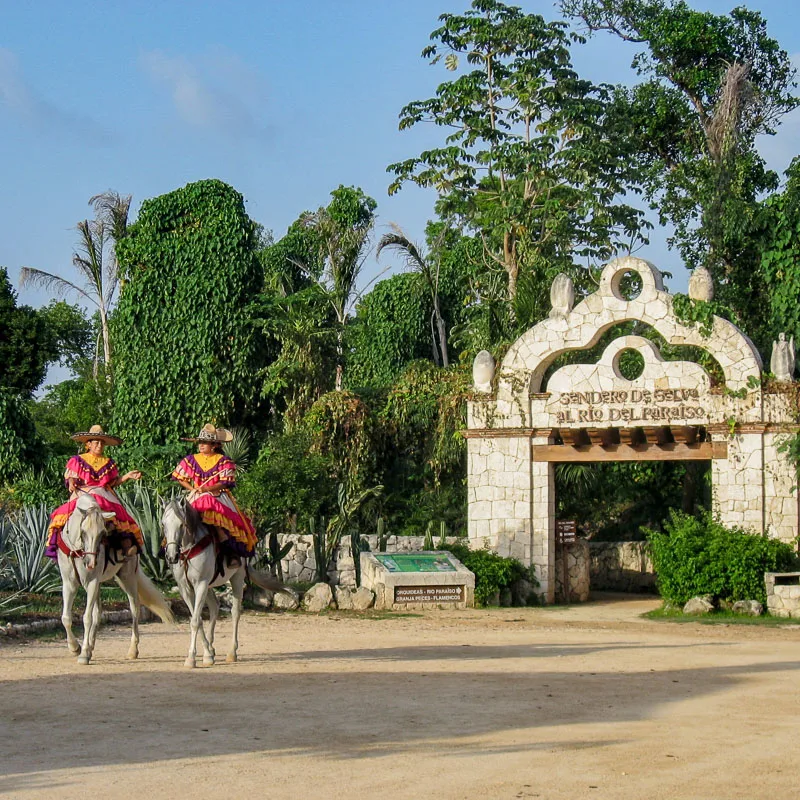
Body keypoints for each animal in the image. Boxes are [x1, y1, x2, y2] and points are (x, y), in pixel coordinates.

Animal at [57, 490, 175, 664]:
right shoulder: (69, 583)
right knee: (97, 612)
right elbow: (66, 617)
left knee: (134, 608)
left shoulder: (92, 582)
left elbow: (86, 618)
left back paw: (132, 650)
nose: (90, 563)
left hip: (128, 577)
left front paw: (83, 653)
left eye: (102, 534)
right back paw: (91, 646)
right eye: (83, 532)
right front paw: (75, 647)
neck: (77, 550)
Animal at [162, 496, 288, 664]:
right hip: (209, 586)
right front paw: (206, 654)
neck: (190, 549)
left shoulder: (201, 584)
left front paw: (191, 658)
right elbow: (198, 619)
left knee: (235, 612)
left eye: (181, 524)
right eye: (163, 524)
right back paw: (210, 648)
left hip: (237, 578)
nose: (171, 556)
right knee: (215, 607)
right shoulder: (185, 588)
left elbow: (195, 621)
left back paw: (232, 652)